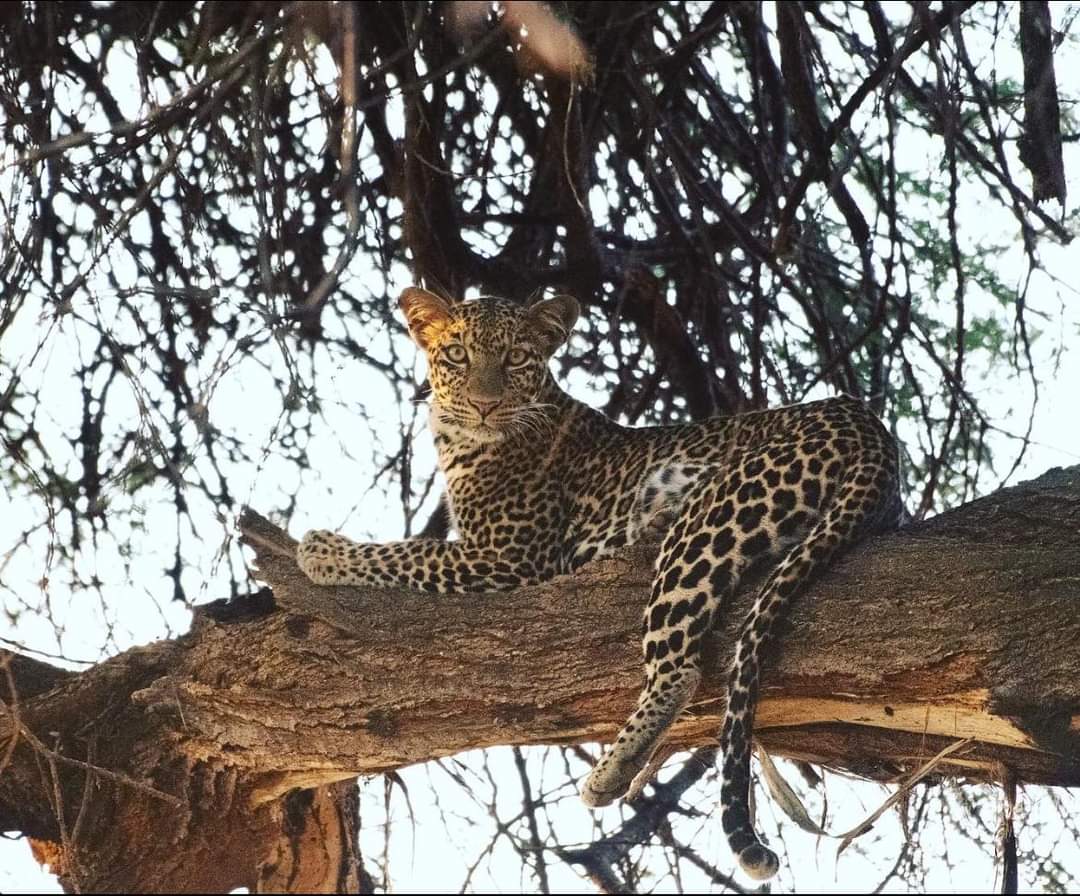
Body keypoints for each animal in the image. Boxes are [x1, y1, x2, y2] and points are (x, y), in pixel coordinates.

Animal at [297, 287, 902, 880]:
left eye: (515, 358)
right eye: (457, 355)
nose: (486, 404)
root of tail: (868, 425)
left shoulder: (509, 556)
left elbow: (407, 552)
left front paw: (322, 551)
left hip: (712, 520)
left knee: (679, 666)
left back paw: (610, 771)